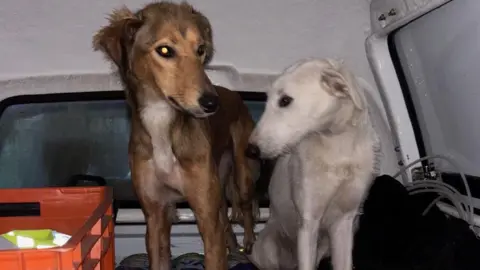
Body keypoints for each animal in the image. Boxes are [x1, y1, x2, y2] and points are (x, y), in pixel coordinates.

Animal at [93, 2, 258, 270]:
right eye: (164, 50)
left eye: (200, 49)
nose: (212, 103)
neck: (162, 122)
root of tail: (233, 95)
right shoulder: (155, 217)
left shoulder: (206, 217)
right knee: (227, 223)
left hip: (241, 176)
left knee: (245, 210)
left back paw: (249, 241)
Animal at [248, 58, 378, 270]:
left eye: (285, 100)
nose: (250, 150)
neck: (337, 148)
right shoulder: (309, 221)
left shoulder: (344, 222)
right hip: (268, 246)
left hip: (324, 246)